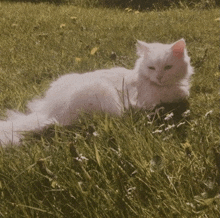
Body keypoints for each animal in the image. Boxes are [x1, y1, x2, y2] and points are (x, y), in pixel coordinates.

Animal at [0, 38, 192, 146]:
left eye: (168, 67)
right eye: (152, 68)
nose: (159, 77)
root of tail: (49, 111)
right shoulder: (150, 101)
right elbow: (180, 95)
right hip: (105, 94)